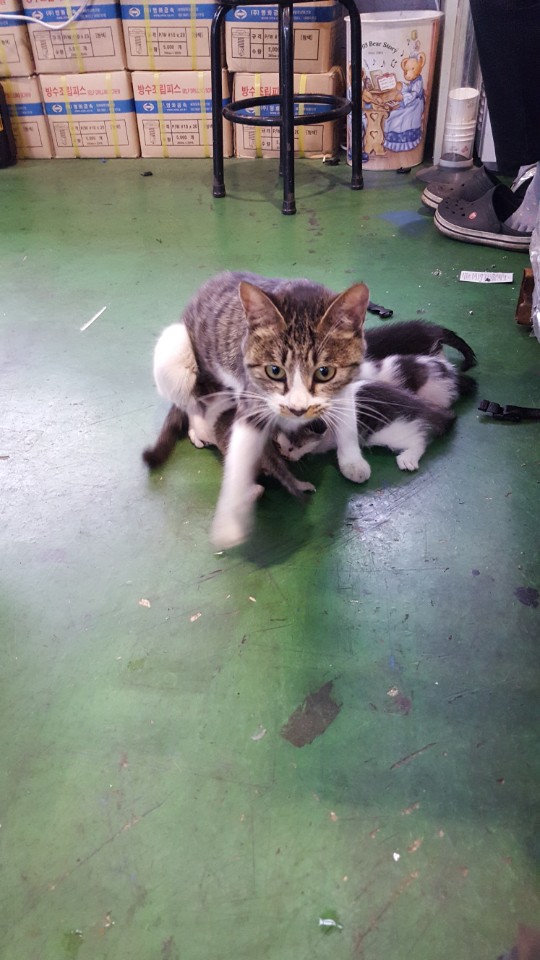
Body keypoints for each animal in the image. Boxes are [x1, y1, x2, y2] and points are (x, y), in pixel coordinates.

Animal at [151, 271, 370, 547]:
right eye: (274, 371)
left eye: (325, 372)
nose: (297, 408)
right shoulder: (251, 398)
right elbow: (240, 453)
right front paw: (230, 523)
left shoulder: (345, 385)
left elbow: (347, 419)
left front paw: (352, 461)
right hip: (175, 348)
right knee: (191, 399)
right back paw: (198, 428)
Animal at [275, 380, 456, 471]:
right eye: (278, 445)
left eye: (296, 446)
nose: (284, 455)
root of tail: (420, 404)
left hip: (390, 431)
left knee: (419, 439)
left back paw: (408, 458)